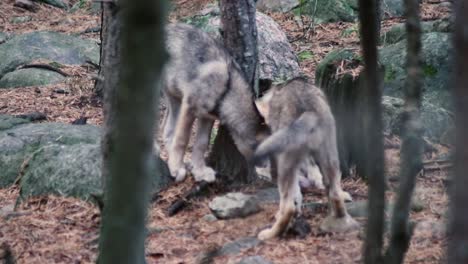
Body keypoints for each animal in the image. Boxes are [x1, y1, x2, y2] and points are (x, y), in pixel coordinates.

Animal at [160, 23, 266, 182]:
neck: (226, 90)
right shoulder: (189, 106)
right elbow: (182, 139)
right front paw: (176, 167)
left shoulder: (207, 116)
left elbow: (202, 143)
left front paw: (199, 171)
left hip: (174, 98)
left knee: (167, 130)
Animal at [252, 77, 358, 240]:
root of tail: (310, 110)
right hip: (330, 158)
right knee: (335, 193)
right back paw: (342, 222)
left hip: (285, 165)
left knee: (288, 206)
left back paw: (270, 234)